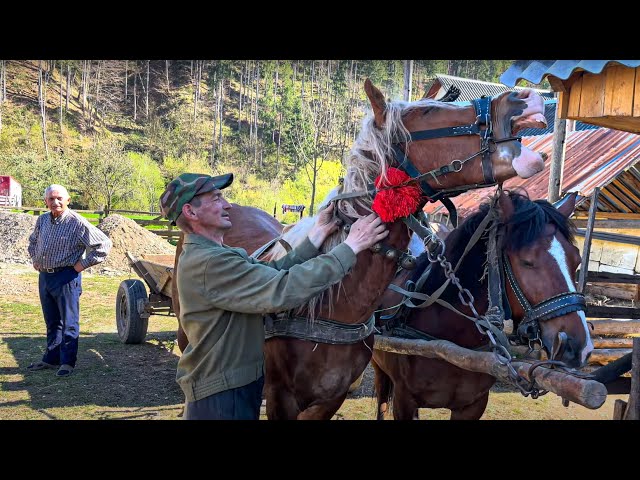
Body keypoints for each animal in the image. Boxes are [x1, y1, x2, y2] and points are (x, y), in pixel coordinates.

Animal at [372, 189, 592, 418]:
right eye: (526, 261)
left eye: (576, 260)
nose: (579, 348)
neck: (452, 342)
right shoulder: (404, 400)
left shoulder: (473, 405)